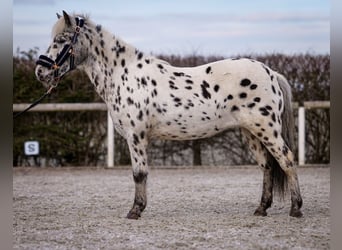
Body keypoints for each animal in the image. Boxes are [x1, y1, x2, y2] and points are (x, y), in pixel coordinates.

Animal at [34, 11, 302, 219]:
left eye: (61, 40)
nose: (40, 72)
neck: (124, 75)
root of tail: (271, 73)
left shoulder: (136, 137)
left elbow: (139, 174)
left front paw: (135, 211)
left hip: (267, 130)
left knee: (287, 160)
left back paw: (296, 209)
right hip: (251, 132)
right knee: (267, 166)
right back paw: (261, 209)